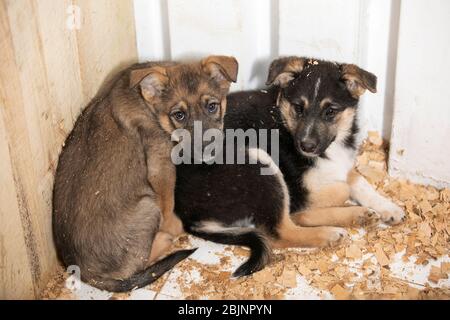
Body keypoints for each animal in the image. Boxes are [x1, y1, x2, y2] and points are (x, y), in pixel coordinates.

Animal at [52, 55, 239, 292]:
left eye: (213, 106)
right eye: (179, 115)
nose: (208, 151)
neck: (149, 105)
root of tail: (85, 272)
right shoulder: (161, 162)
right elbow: (168, 203)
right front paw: (172, 225)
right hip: (147, 206)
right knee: (142, 261)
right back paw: (166, 238)